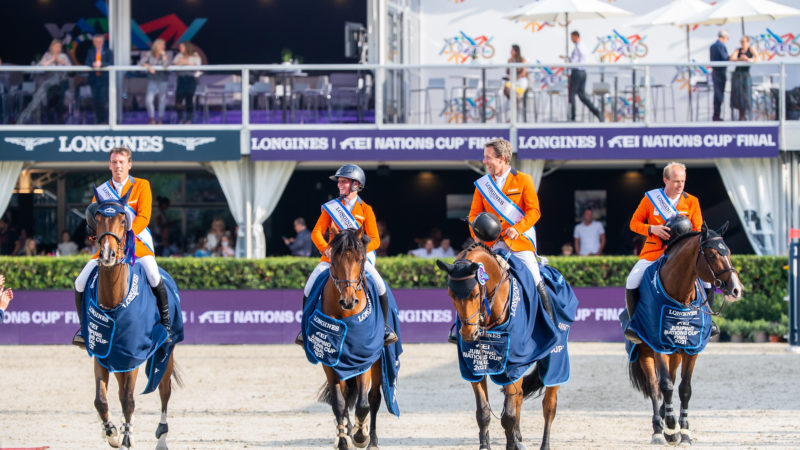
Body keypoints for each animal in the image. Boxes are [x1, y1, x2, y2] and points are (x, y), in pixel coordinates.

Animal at [90, 194, 182, 450]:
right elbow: (101, 400)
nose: (107, 255)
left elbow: (129, 399)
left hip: (165, 354)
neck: (114, 305)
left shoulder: (132, 356)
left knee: (164, 391)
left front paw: (126, 438)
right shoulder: (103, 353)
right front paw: (112, 433)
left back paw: (162, 437)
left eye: (123, 220)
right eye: (97, 219)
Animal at [312, 229, 388, 450]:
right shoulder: (329, 362)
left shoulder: (365, 359)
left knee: (374, 397)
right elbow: (338, 403)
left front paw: (360, 436)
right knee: (346, 397)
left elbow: (363, 403)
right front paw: (344, 439)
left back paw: (372, 440)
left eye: (360, 259)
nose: (348, 301)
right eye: (335, 260)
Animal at [434, 243, 560, 450]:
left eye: (476, 294)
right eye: (451, 295)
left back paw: (544, 444)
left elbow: (507, 415)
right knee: (519, 396)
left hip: (555, 359)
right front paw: (488, 445)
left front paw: (511, 444)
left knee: (549, 405)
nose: (469, 334)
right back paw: (518, 437)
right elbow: (483, 413)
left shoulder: (513, 365)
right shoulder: (474, 365)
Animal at [628, 221, 748, 442]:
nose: (736, 289)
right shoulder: (659, 345)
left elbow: (684, 388)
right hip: (644, 351)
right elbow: (665, 385)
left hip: (676, 353)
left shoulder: (692, 349)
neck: (681, 296)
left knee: (671, 379)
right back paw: (658, 430)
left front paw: (683, 430)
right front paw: (670, 427)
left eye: (728, 251)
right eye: (712, 255)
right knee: (654, 386)